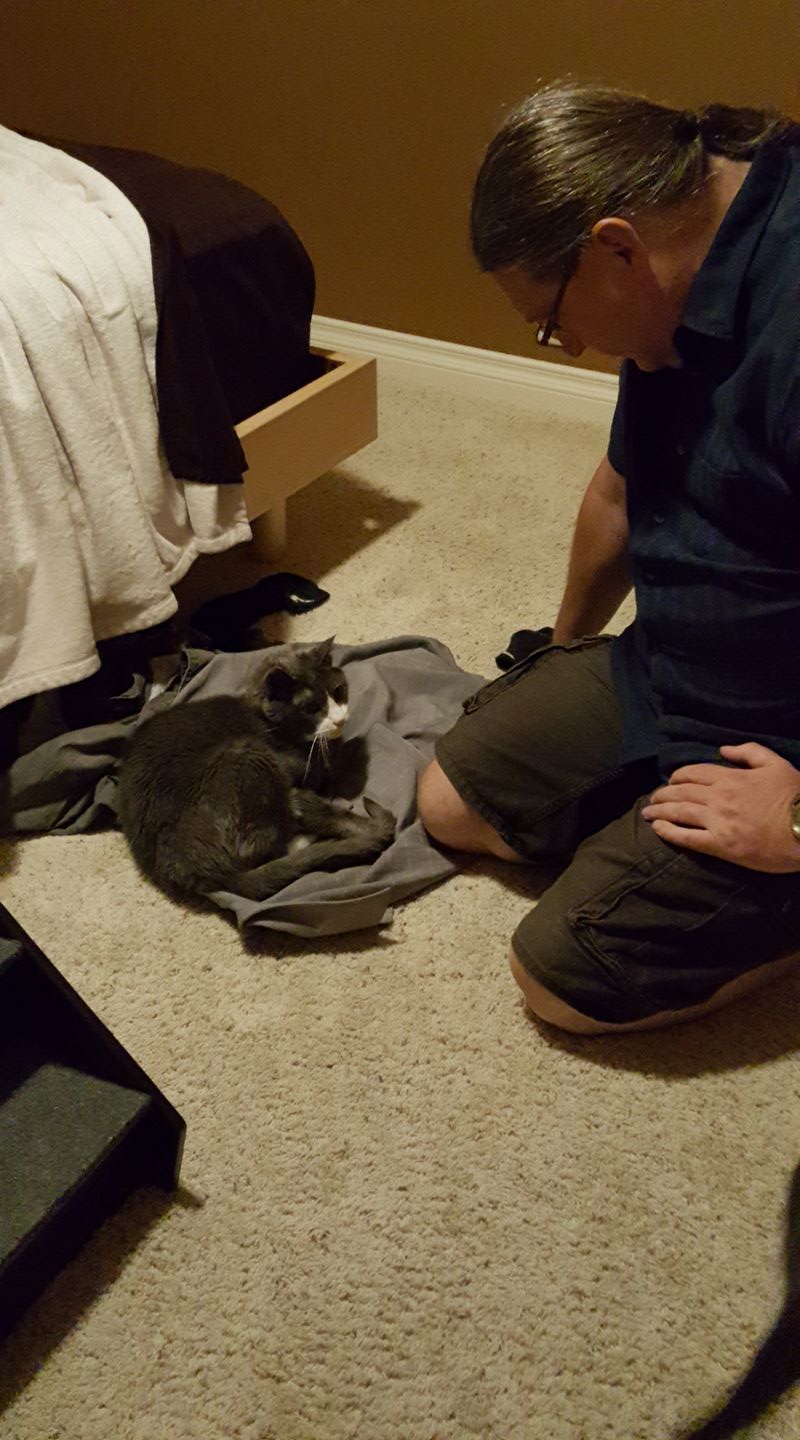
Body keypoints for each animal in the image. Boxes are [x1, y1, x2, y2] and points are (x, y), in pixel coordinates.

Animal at [116, 637, 394, 901]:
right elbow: (325, 811)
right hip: (247, 756)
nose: (339, 720)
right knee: (262, 849)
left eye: (338, 691)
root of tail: (206, 874)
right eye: (310, 708)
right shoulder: (292, 781)